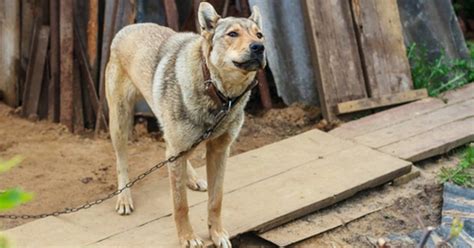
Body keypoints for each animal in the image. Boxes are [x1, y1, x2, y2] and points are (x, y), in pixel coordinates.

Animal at [105, 2, 264, 248]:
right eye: (232, 34)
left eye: (259, 34)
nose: (260, 47)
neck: (218, 93)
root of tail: (130, 27)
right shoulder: (179, 151)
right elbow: (181, 205)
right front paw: (188, 238)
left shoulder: (220, 150)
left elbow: (216, 200)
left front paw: (217, 234)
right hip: (120, 123)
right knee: (122, 161)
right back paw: (124, 198)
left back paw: (193, 179)